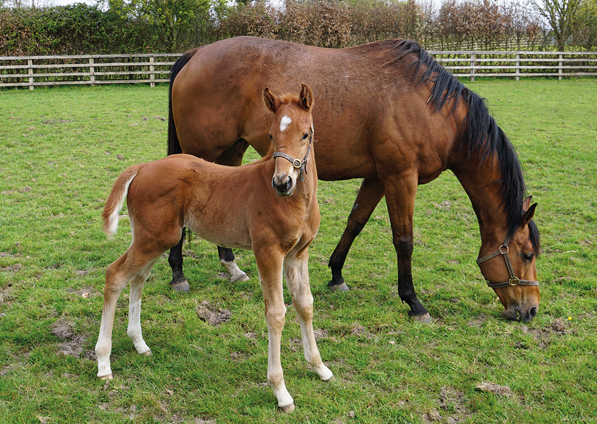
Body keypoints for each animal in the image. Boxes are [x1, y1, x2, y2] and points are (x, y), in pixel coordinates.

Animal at [95, 84, 332, 412]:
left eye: (306, 134)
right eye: (271, 135)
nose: (282, 182)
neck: (298, 201)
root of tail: (143, 167)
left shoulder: (298, 255)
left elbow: (305, 304)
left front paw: (320, 367)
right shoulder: (268, 252)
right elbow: (276, 313)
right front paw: (281, 392)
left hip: (154, 238)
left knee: (137, 278)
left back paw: (139, 343)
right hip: (155, 238)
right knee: (115, 275)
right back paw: (104, 363)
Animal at [166, 37, 540, 322]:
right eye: (526, 254)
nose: (531, 310)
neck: (430, 107)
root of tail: (197, 54)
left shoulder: (377, 178)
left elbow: (355, 222)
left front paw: (336, 275)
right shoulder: (401, 176)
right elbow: (404, 239)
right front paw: (414, 302)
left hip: (232, 150)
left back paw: (231, 266)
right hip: (197, 154)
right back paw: (178, 273)